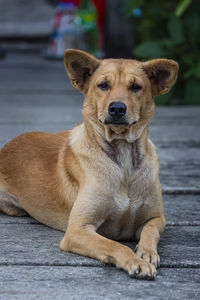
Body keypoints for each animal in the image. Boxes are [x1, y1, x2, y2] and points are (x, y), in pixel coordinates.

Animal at [0, 49, 178, 278]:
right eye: (103, 85)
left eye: (135, 87)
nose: (117, 108)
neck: (123, 159)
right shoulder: (77, 230)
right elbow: (114, 245)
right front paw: (135, 261)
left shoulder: (156, 218)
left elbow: (149, 231)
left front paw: (147, 253)